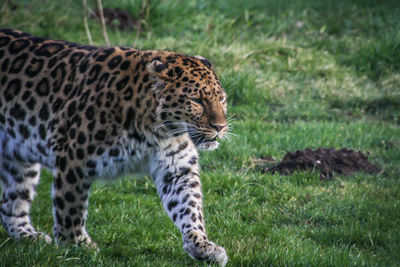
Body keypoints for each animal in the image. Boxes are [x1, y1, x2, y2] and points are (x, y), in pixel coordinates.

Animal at [0, 28, 228, 266]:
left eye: (221, 99)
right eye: (196, 100)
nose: (221, 127)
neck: (157, 131)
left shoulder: (176, 169)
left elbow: (189, 207)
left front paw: (201, 246)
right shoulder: (72, 158)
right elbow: (70, 206)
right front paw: (75, 245)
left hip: (18, 156)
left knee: (12, 202)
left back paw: (27, 236)